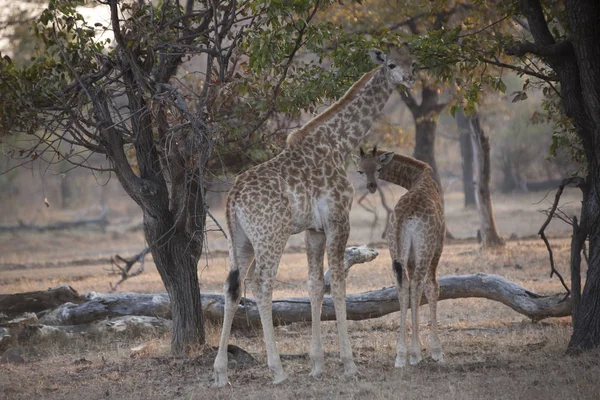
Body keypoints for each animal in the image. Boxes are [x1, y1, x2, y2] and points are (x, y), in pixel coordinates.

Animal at [213, 45, 414, 386]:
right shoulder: (338, 219)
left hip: (240, 240)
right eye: (391, 64)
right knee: (261, 283)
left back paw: (221, 373)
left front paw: (317, 364)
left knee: (232, 286)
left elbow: (316, 284)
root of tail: (233, 199)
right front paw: (349, 365)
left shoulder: (314, 229)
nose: (410, 78)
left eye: (412, 61)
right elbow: (340, 284)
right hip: (271, 236)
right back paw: (277, 370)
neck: (337, 143)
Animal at [352, 147, 446, 368]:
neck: (418, 175)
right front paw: (436, 351)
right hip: (425, 250)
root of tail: (405, 217)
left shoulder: (407, 258)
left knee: (403, 289)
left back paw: (401, 355)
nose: (371, 186)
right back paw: (414, 354)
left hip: (395, 252)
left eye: (378, 167)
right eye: (360, 170)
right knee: (420, 286)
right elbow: (432, 288)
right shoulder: (438, 244)